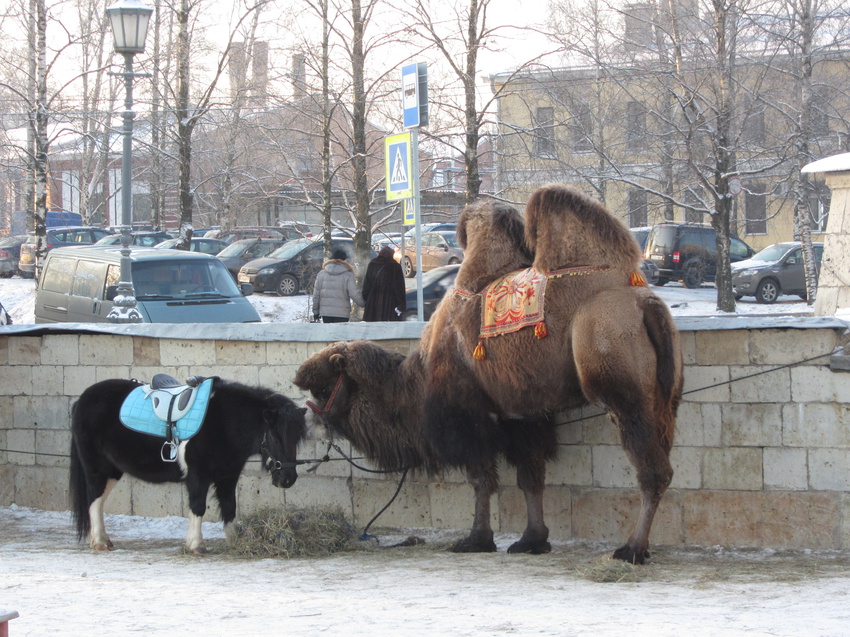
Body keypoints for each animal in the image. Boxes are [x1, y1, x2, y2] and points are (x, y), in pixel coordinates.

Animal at [68, 378, 308, 552]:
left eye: (297, 438)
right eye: (275, 436)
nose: (288, 479)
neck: (223, 422)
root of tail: (82, 400)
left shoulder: (228, 477)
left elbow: (230, 507)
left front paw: (234, 542)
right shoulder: (197, 476)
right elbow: (198, 507)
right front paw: (196, 545)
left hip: (112, 471)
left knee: (98, 502)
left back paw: (104, 539)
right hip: (97, 469)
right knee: (94, 500)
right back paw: (99, 541)